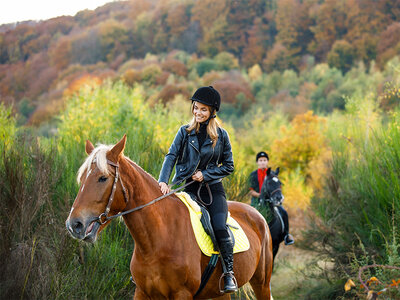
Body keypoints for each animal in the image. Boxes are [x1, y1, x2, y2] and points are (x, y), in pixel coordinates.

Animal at [65, 135, 274, 298]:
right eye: (82, 178)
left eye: (103, 178)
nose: (74, 224)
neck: (157, 241)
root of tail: (258, 215)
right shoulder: (142, 292)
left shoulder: (181, 294)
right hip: (219, 294)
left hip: (262, 284)